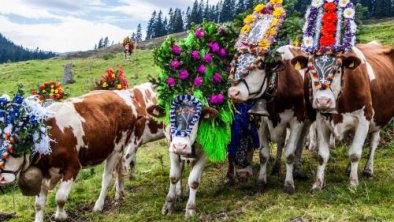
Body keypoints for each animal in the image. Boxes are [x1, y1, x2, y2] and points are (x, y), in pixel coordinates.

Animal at [0, 82, 165, 221]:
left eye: (14, 150)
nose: (1, 178)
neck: (47, 138)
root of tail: (124, 97)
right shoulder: (44, 172)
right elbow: (39, 205)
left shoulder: (73, 166)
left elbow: (60, 197)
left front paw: (60, 216)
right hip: (120, 148)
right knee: (120, 170)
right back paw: (119, 195)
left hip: (117, 149)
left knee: (107, 177)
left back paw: (99, 205)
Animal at [228, 45, 310, 194]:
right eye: (236, 63)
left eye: (260, 65)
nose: (233, 92)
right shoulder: (260, 121)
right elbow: (263, 154)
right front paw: (261, 183)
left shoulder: (298, 120)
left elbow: (290, 154)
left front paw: (289, 184)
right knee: (281, 141)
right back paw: (276, 167)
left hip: (307, 122)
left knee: (300, 144)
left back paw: (297, 170)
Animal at [290, 42, 394, 192]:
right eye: (310, 69)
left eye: (338, 70)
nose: (323, 101)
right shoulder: (322, 121)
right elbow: (322, 155)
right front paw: (317, 184)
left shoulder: (364, 119)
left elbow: (355, 154)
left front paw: (353, 183)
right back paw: (350, 169)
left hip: (378, 118)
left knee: (373, 142)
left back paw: (368, 170)